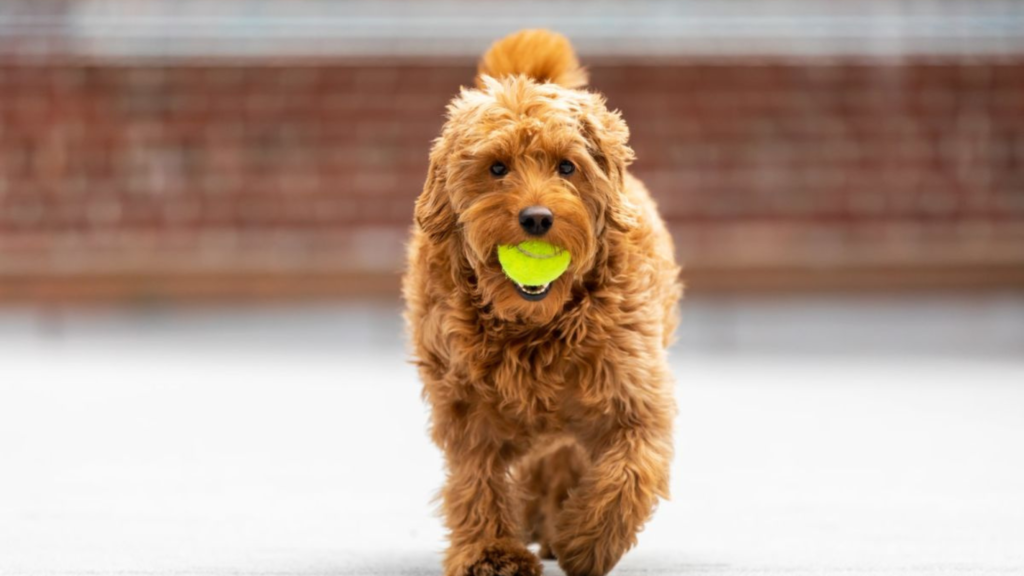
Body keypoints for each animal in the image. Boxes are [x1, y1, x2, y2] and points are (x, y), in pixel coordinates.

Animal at [403, 30, 684, 573]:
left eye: (567, 166)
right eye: (497, 167)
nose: (536, 218)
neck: (534, 325)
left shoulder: (633, 391)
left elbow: (630, 472)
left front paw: (585, 541)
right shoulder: (466, 405)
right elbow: (476, 479)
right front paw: (490, 552)